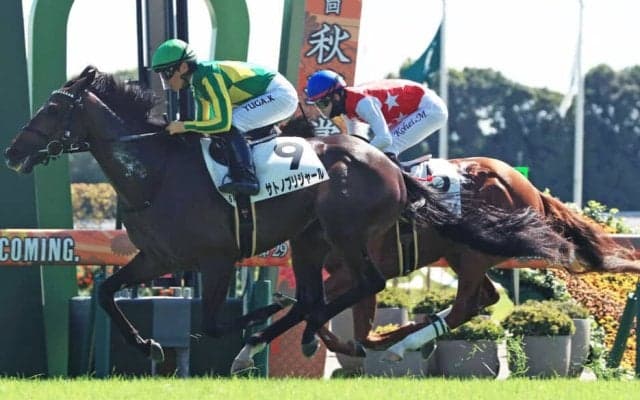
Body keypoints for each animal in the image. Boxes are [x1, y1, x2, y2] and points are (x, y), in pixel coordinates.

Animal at [4, 66, 572, 373]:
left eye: (53, 107)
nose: (13, 152)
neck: (158, 172)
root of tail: (389, 166)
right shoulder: (157, 256)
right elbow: (105, 293)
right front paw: (149, 345)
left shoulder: (216, 258)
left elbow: (214, 323)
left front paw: (255, 329)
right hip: (314, 240)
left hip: (355, 236)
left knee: (374, 286)